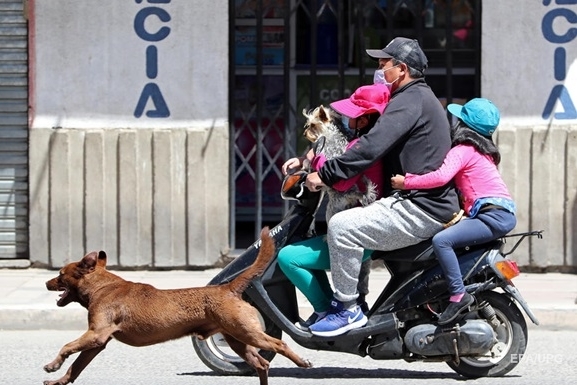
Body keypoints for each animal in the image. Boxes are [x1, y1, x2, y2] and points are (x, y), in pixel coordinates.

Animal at [42, 226, 310, 384]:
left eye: (60, 274)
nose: (46, 282)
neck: (101, 286)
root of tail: (227, 288)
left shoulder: (95, 334)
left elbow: (67, 346)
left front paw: (52, 365)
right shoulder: (97, 342)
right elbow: (76, 366)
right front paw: (59, 380)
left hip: (246, 332)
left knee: (278, 344)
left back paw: (302, 362)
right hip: (237, 340)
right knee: (262, 363)